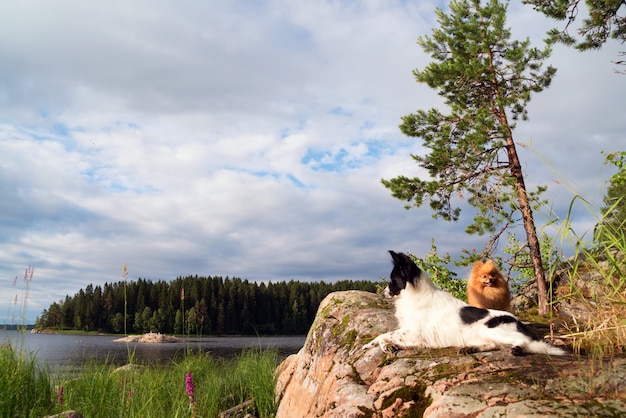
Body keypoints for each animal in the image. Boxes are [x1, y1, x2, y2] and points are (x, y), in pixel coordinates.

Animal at [360, 251, 564, 356]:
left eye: (392, 280)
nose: (383, 293)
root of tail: (519, 322)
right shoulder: (412, 333)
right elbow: (385, 336)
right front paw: (379, 345)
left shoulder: (415, 332)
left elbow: (384, 335)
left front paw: (379, 345)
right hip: (480, 335)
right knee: (493, 345)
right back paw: (469, 348)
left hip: (491, 329)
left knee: (523, 342)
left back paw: (517, 349)